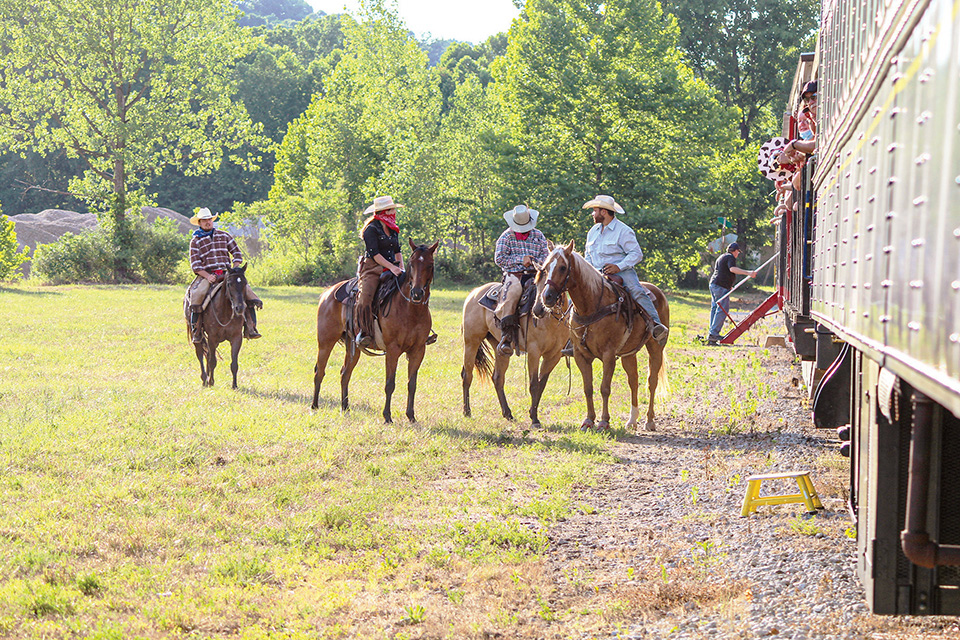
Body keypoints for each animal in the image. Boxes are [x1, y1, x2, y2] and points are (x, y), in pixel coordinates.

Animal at [312, 238, 438, 422]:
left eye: (429, 264)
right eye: (412, 264)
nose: (416, 293)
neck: (410, 309)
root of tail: (327, 293)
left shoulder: (418, 350)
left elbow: (412, 384)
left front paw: (411, 416)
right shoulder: (392, 350)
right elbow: (390, 384)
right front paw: (387, 416)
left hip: (353, 347)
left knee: (344, 374)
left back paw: (345, 407)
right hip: (325, 342)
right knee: (319, 372)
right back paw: (314, 406)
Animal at [460, 278, 568, 424]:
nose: (539, 308)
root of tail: (474, 293)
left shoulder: (554, 355)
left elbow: (541, 384)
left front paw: (532, 413)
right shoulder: (534, 352)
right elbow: (534, 384)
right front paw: (535, 419)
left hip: (500, 349)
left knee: (497, 378)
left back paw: (507, 413)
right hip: (471, 342)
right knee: (467, 375)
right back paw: (467, 411)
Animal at [528, 242, 672, 432]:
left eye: (563, 267)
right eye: (544, 268)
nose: (547, 297)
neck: (592, 307)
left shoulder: (609, 355)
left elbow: (605, 388)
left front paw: (604, 422)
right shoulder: (581, 355)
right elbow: (588, 388)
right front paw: (589, 420)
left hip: (655, 347)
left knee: (652, 381)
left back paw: (649, 421)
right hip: (628, 354)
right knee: (633, 381)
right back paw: (632, 420)